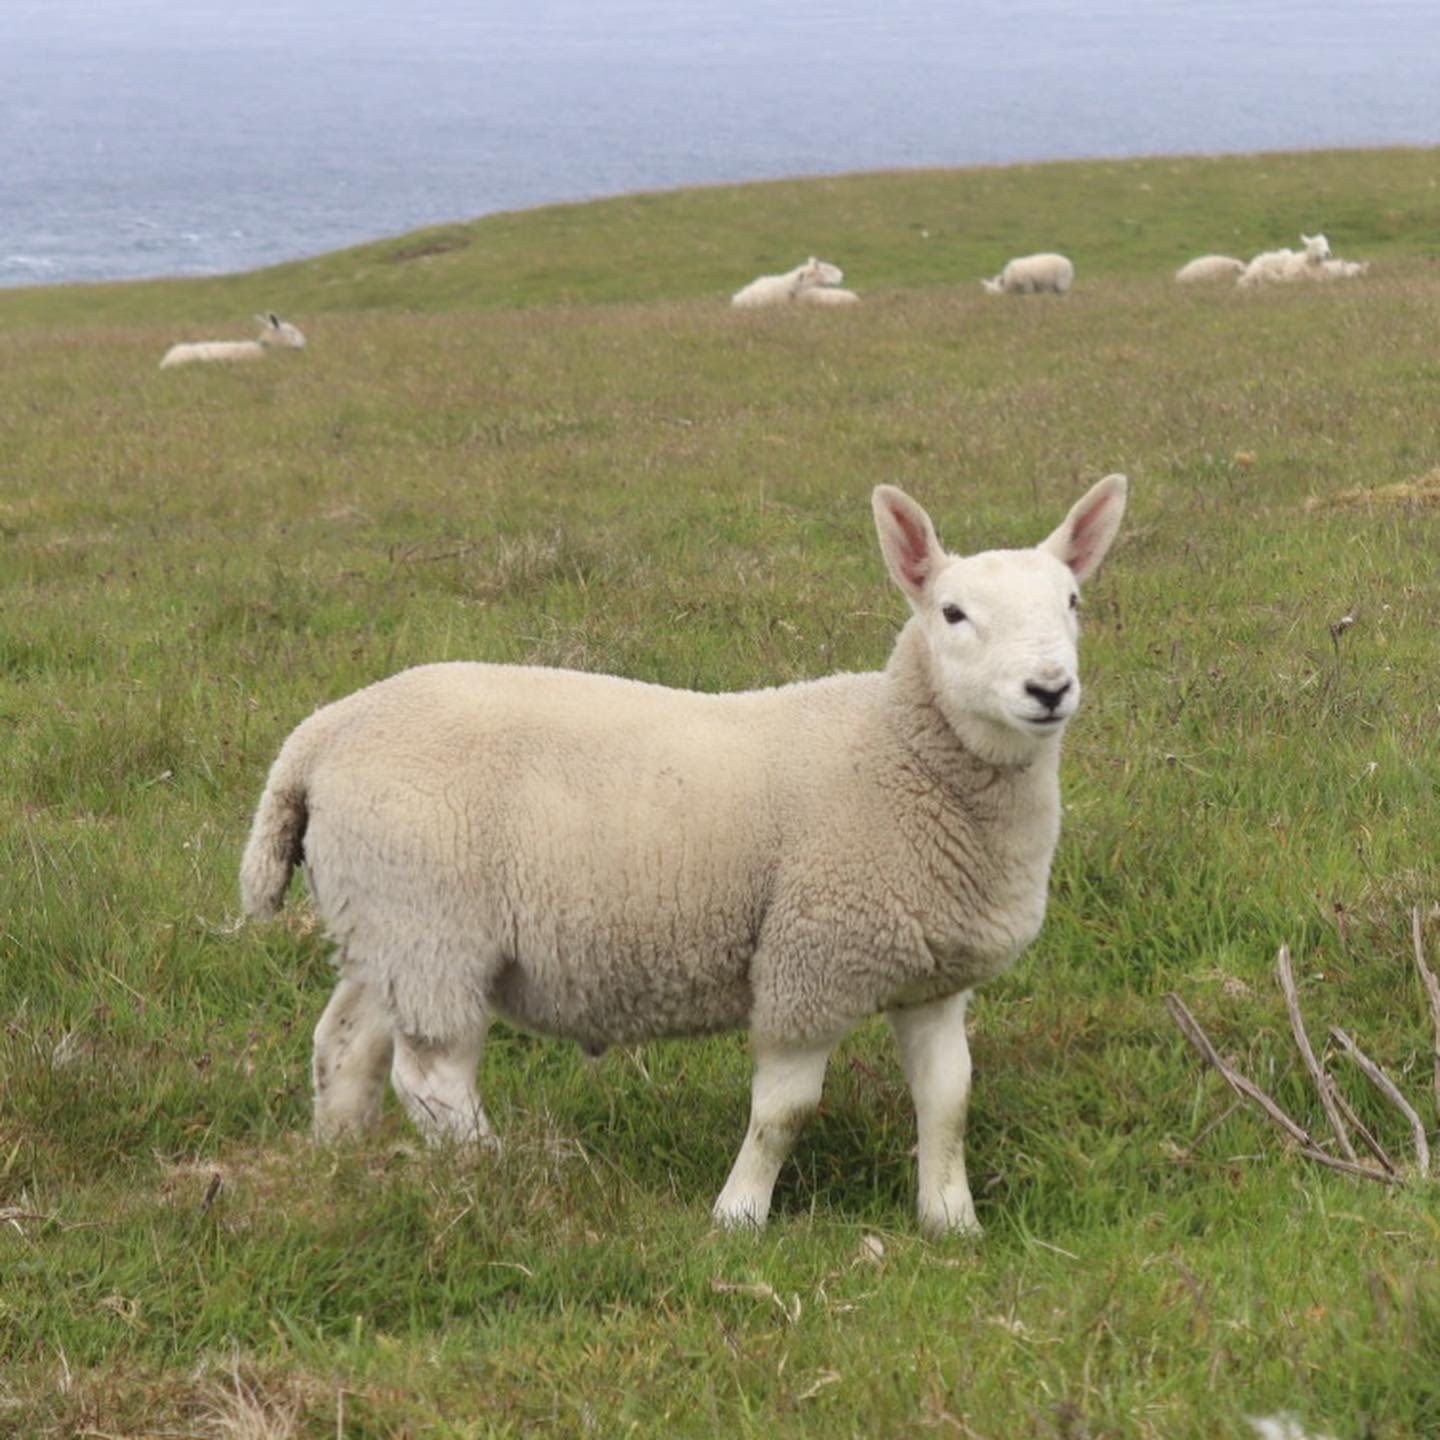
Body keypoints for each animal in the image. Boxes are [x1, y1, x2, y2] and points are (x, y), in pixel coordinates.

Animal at [240, 474, 1128, 1234]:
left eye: (1073, 601)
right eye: (952, 613)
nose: (1049, 690)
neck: (903, 755)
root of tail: (321, 733)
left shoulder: (931, 975)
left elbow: (949, 1100)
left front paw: (951, 1223)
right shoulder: (810, 962)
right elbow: (783, 1112)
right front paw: (738, 1217)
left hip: (384, 925)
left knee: (346, 1043)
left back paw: (341, 1160)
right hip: (432, 926)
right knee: (432, 1078)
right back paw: (505, 1174)